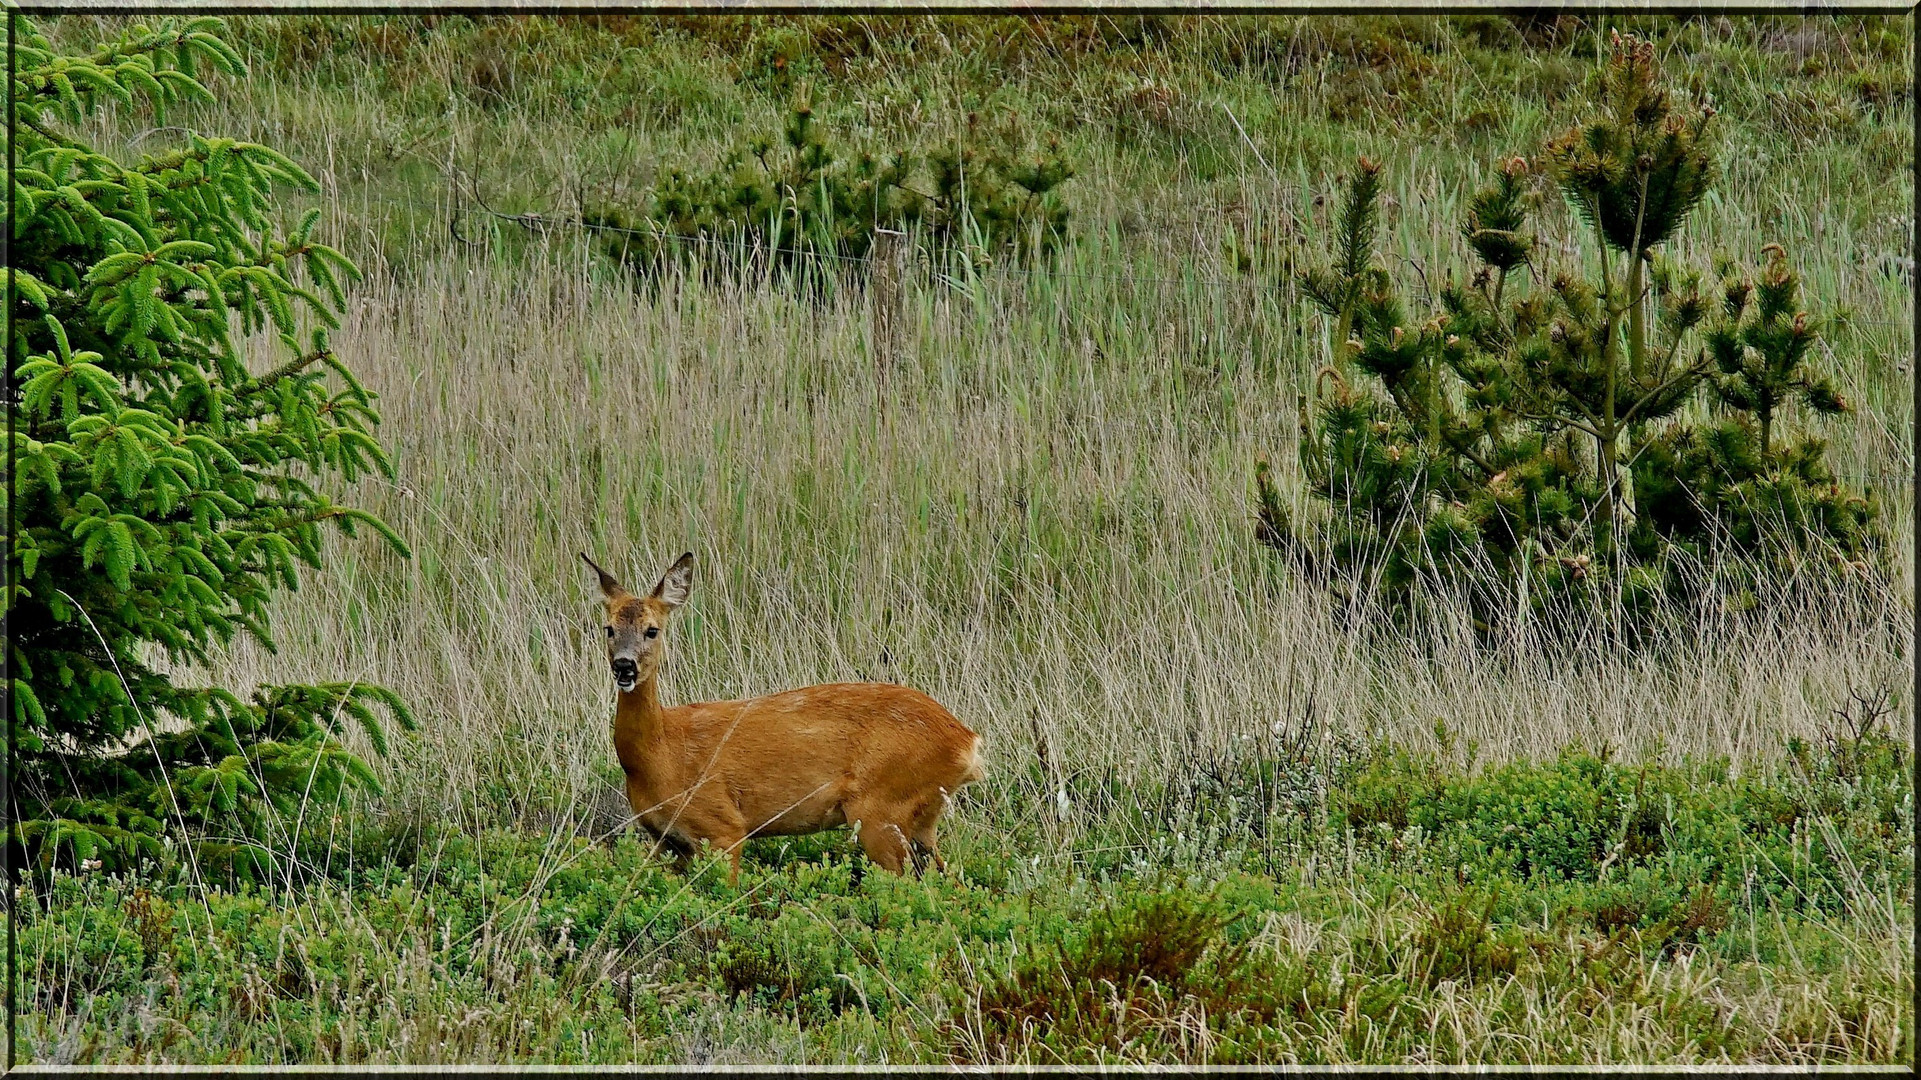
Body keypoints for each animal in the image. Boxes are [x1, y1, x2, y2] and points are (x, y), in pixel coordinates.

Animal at [576, 549, 983, 880]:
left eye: (652, 630)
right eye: (608, 627)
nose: (624, 666)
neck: (660, 756)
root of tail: (968, 742)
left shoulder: (723, 825)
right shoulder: (669, 842)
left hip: (881, 809)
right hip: (920, 818)